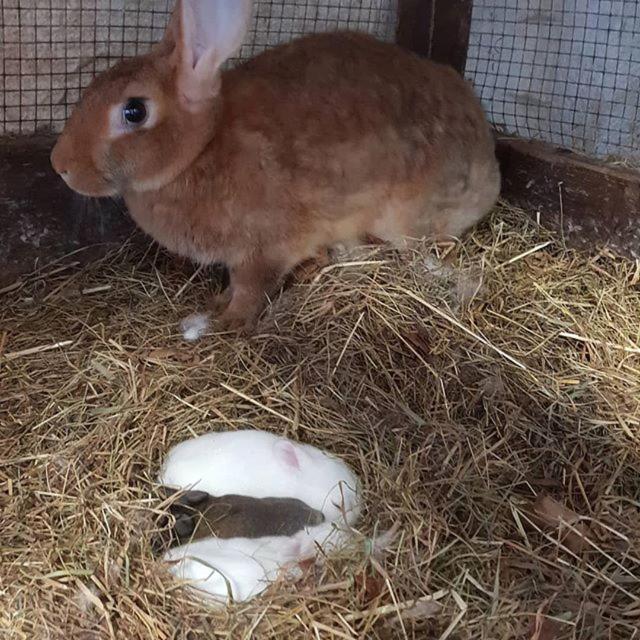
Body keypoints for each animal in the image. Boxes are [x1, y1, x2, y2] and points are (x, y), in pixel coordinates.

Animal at [51, 0, 500, 330]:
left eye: (134, 111)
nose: (60, 165)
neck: (201, 150)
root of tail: (491, 168)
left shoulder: (264, 248)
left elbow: (251, 288)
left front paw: (225, 322)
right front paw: (217, 303)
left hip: (407, 219)